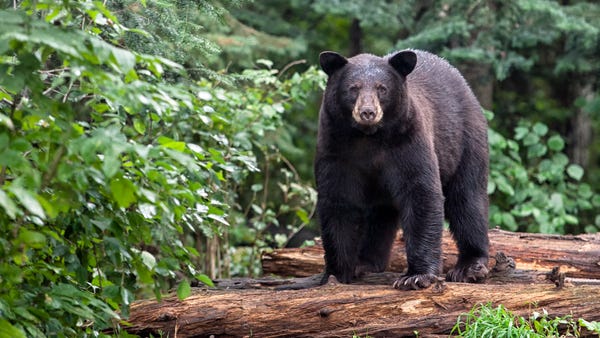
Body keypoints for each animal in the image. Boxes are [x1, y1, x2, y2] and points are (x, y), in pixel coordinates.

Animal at [316, 48, 490, 290]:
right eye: (353, 88)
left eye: (382, 88)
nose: (368, 112)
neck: (368, 137)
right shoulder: (335, 147)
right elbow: (338, 201)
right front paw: (336, 273)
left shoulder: (407, 141)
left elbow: (421, 192)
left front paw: (416, 276)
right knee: (380, 214)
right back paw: (366, 263)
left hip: (465, 141)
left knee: (467, 199)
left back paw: (470, 266)